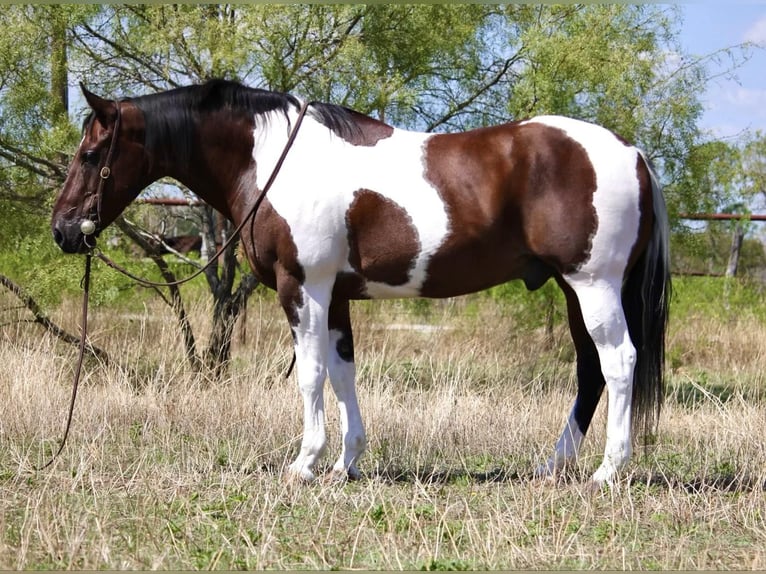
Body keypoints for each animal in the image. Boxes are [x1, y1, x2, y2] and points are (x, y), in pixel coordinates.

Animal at [51, 80, 668, 486]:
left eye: (91, 153)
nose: (62, 230)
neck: (273, 159)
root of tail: (633, 153)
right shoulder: (337, 296)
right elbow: (344, 374)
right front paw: (346, 462)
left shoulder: (303, 288)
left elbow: (311, 375)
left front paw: (304, 463)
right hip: (574, 289)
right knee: (590, 371)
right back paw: (553, 466)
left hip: (593, 285)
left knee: (618, 364)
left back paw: (607, 472)